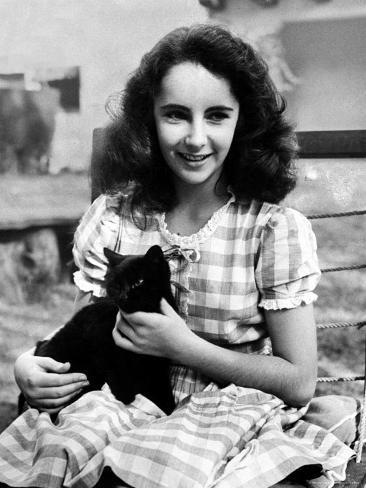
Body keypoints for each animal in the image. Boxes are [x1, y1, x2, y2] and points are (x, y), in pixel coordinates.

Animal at [32, 246, 177, 414]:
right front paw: (125, 394)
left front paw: (168, 407)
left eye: (139, 281)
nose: (124, 295)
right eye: (116, 285)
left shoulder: (159, 360)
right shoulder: (102, 344)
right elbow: (117, 368)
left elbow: (161, 384)